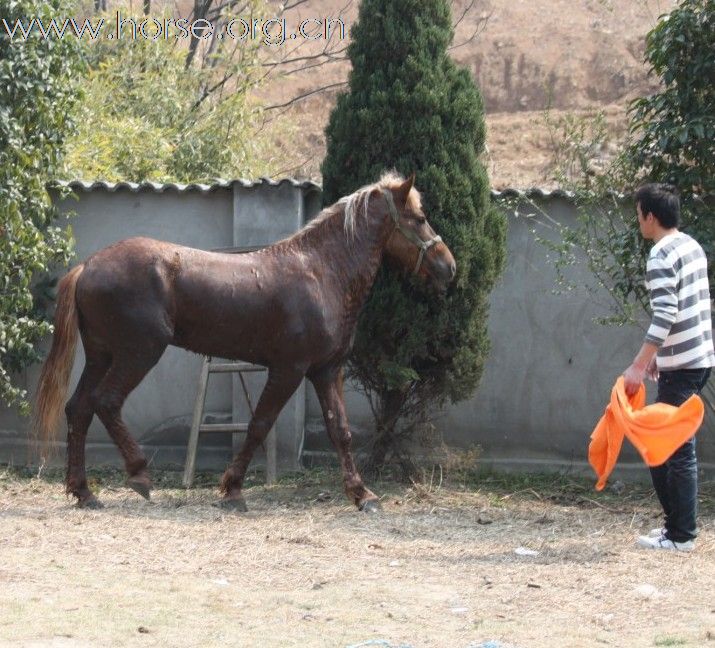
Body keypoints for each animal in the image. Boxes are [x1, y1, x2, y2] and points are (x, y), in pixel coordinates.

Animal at [32, 172, 454, 512]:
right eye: (419, 219)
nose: (448, 267)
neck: (321, 272)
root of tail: (88, 266)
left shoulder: (325, 371)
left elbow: (341, 432)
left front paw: (363, 495)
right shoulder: (289, 370)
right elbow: (259, 424)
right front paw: (233, 490)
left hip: (101, 355)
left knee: (79, 409)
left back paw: (84, 493)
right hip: (138, 353)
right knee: (106, 402)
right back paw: (139, 475)